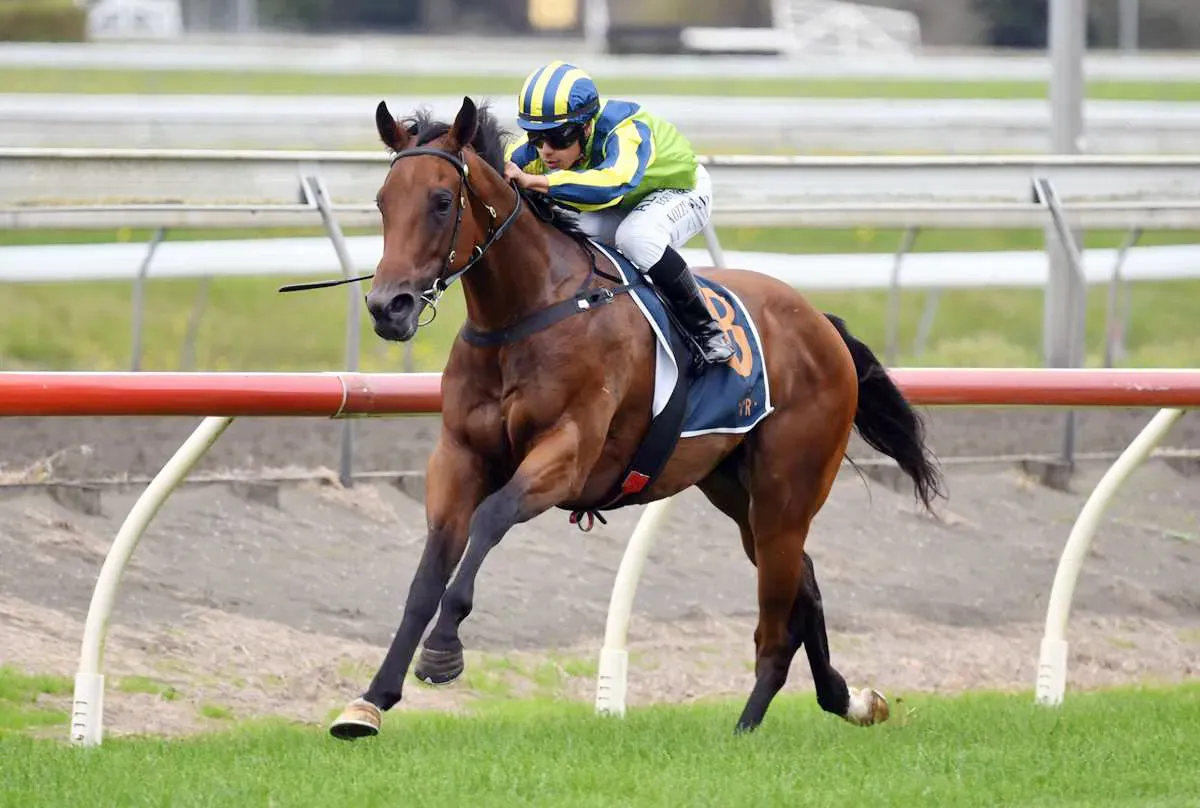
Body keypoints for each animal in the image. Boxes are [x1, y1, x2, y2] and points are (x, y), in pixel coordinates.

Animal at [319, 96, 945, 739]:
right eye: (382, 200)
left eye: (442, 200)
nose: (388, 307)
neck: (529, 310)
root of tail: (821, 322)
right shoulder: (458, 455)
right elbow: (428, 573)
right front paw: (369, 701)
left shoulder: (567, 453)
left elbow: (490, 519)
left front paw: (443, 651)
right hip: (735, 488)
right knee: (806, 585)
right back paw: (849, 699)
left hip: (785, 492)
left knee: (776, 622)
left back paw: (746, 729)